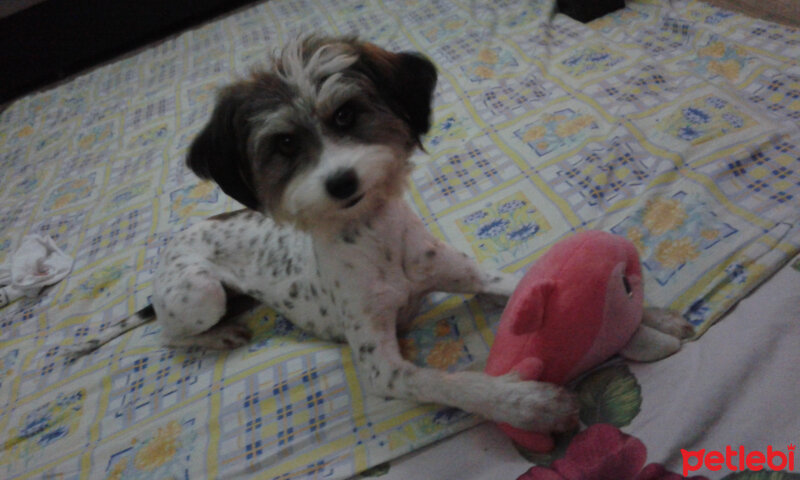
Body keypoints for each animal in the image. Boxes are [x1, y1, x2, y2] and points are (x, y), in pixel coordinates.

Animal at [64, 35, 688, 434]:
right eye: (284, 145)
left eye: (345, 115)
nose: (342, 182)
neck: (377, 241)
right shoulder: (382, 367)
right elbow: (454, 384)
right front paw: (525, 404)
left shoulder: (469, 274)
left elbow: (528, 284)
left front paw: (648, 319)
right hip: (198, 295)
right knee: (168, 336)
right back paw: (218, 337)